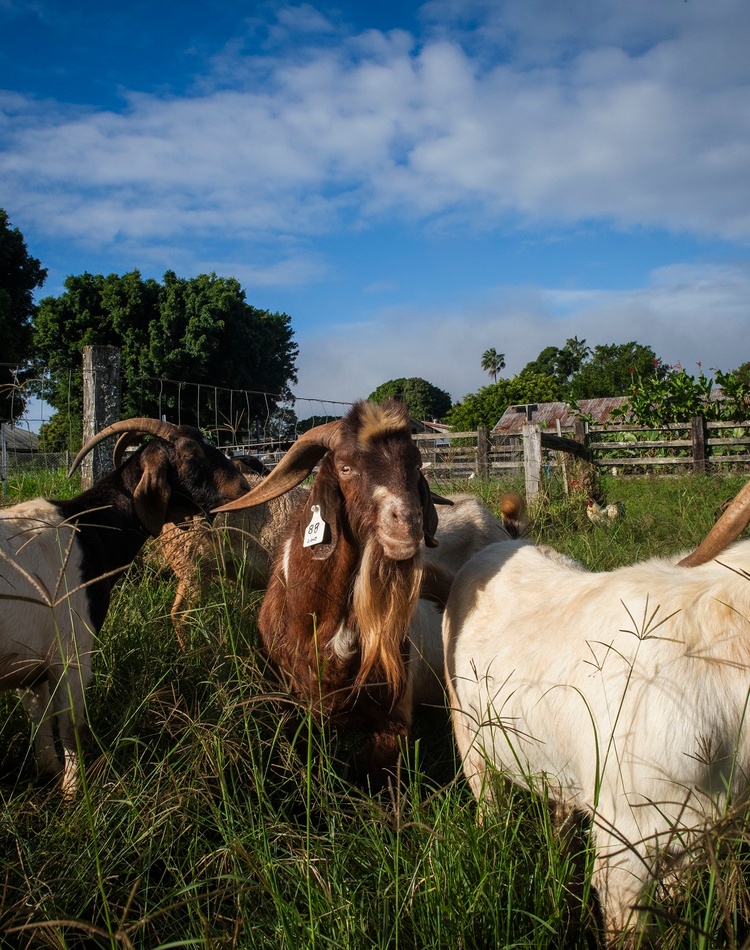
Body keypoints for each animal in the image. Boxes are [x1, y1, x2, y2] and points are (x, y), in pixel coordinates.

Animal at [0, 419, 250, 796]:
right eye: (190, 456)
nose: (244, 485)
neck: (85, 529)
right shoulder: (71, 654)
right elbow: (70, 724)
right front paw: (74, 792)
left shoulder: (31, 665)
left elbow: (39, 718)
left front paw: (50, 774)